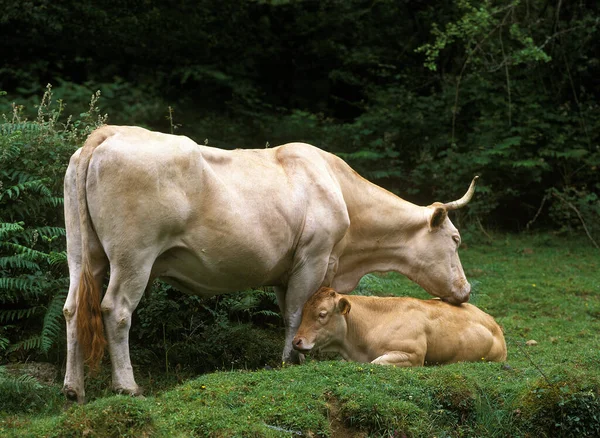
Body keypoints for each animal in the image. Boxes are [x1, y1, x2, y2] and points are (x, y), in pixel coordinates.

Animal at [63, 125, 478, 402]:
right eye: (455, 239)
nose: (466, 290)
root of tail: (109, 133)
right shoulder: (314, 257)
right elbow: (297, 312)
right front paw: (292, 362)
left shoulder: (286, 270)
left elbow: (294, 312)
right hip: (134, 255)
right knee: (116, 310)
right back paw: (127, 386)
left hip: (82, 253)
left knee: (72, 308)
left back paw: (73, 389)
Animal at [290, 288, 506, 366]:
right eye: (303, 312)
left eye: (322, 314)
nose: (296, 341)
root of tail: (493, 323)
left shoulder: (412, 355)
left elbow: (377, 362)